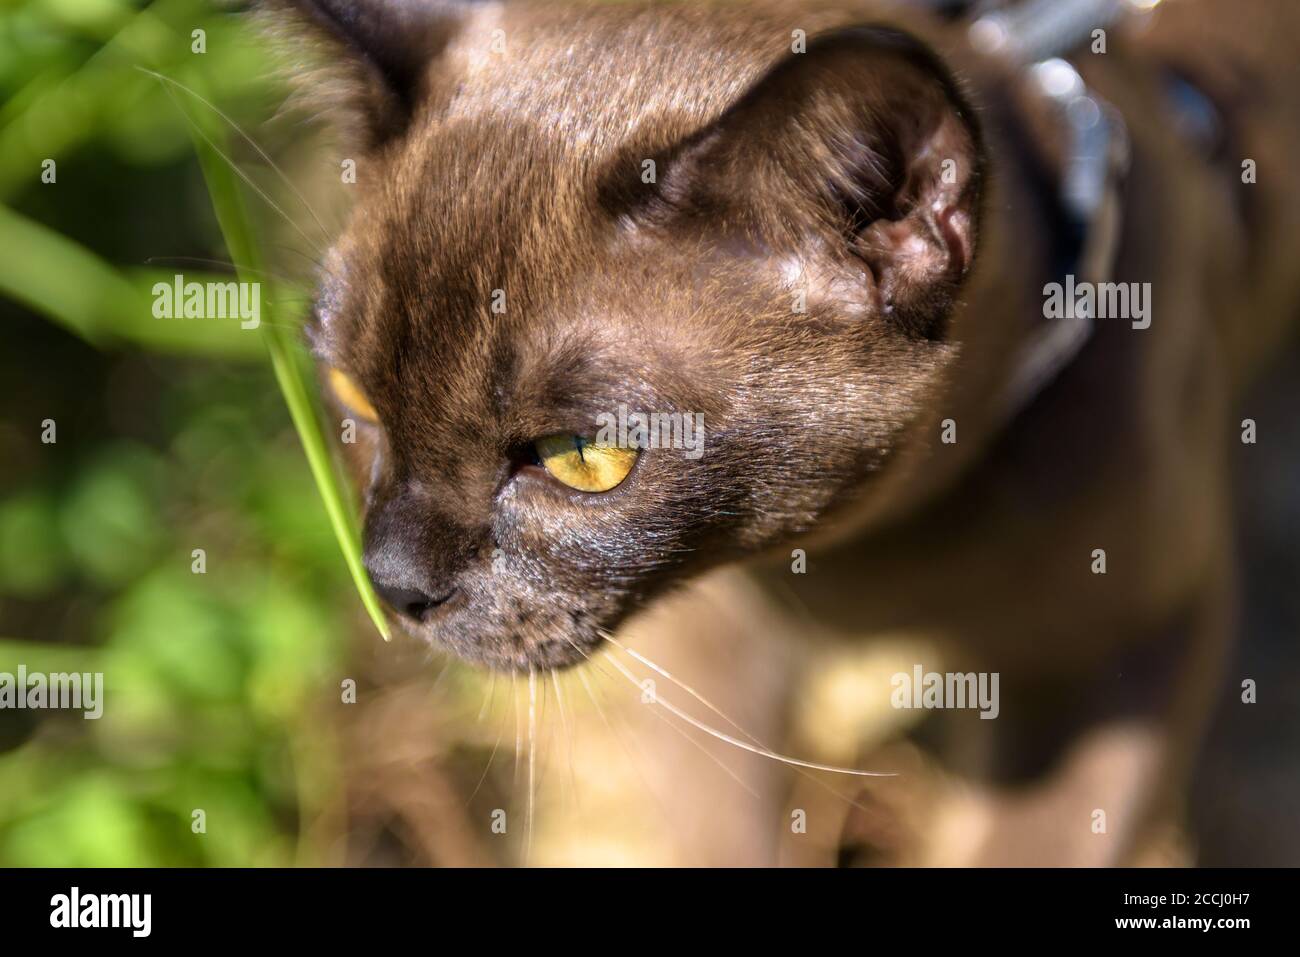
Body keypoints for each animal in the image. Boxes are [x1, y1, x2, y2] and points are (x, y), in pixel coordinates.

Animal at [258, 0, 1300, 868]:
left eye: (580, 458)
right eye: (351, 392)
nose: (391, 582)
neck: (864, 564)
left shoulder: (1117, 655)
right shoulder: (718, 647)